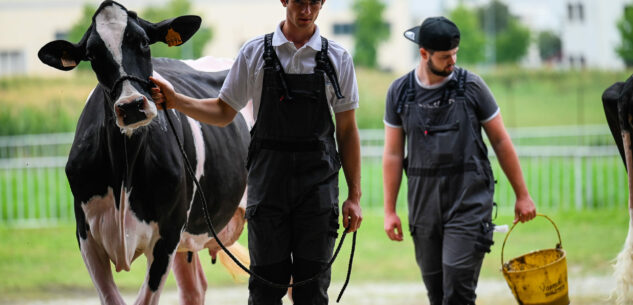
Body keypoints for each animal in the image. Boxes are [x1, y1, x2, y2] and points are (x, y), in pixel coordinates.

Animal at [37, 1, 252, 302]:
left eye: (143, 42)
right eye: (92, 54)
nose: (131, 106)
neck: (123, 170)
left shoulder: (167, 235)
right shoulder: (86, 234)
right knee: (194, 288)